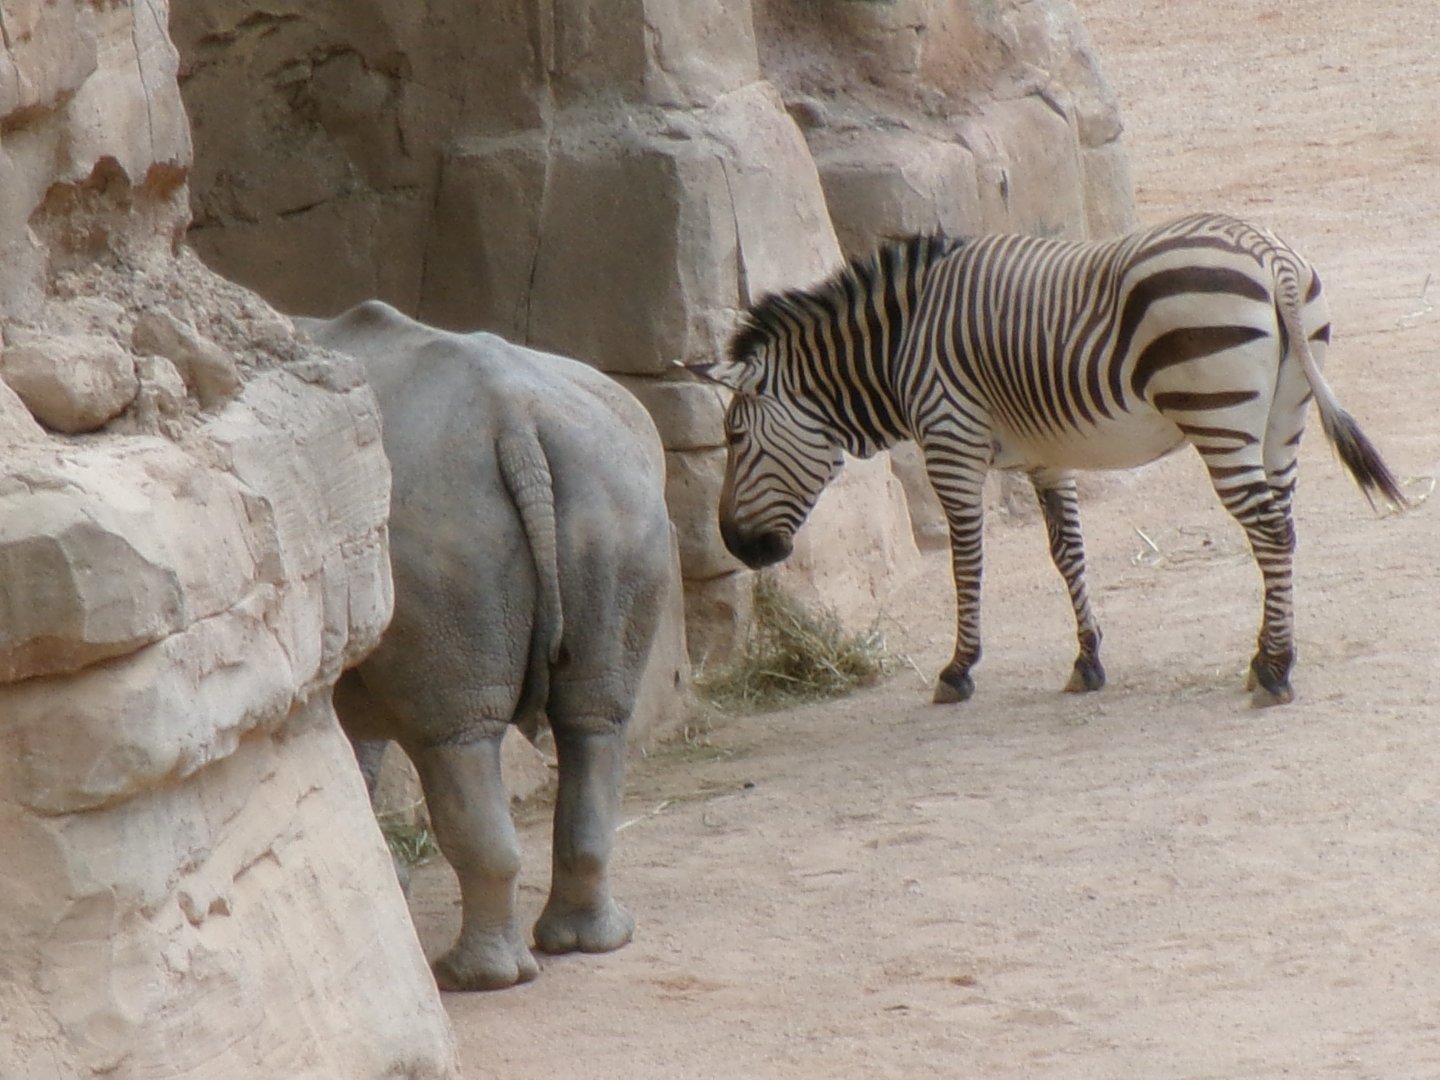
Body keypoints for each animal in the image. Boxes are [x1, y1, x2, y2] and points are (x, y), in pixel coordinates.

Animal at [298, 301, 674, 991]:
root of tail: (516, 422)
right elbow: (359, 752)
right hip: (612, 490)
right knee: (594, 719)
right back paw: (588, 943)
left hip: (437, 514)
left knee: (456, 737)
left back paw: (470, 979)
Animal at [685, 213, 1406, 706]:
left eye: (735, 438)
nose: (736, 547)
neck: (899, 345)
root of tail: (1268, 253)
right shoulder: (1045, 455)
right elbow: (1068, 553)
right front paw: (1088, 660)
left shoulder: (951, 441)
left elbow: (966, 561)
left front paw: (959, 668)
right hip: (1283, 417)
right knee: (1279, 527)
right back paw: (1268, 654)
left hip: (1217, 413)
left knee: (1270, 529)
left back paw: (1276, 668)